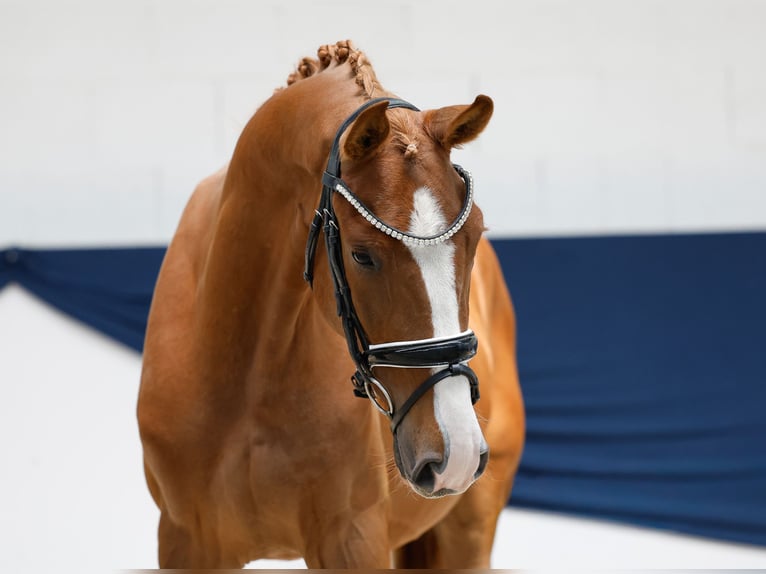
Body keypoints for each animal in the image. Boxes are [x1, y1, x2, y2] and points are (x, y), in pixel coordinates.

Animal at [137, 40, 525, 569]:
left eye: (475, 236)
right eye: (361, 254)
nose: (457, 450)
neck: (244, 376)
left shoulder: (352, 539)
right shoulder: (184, 541)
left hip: (468, 528)